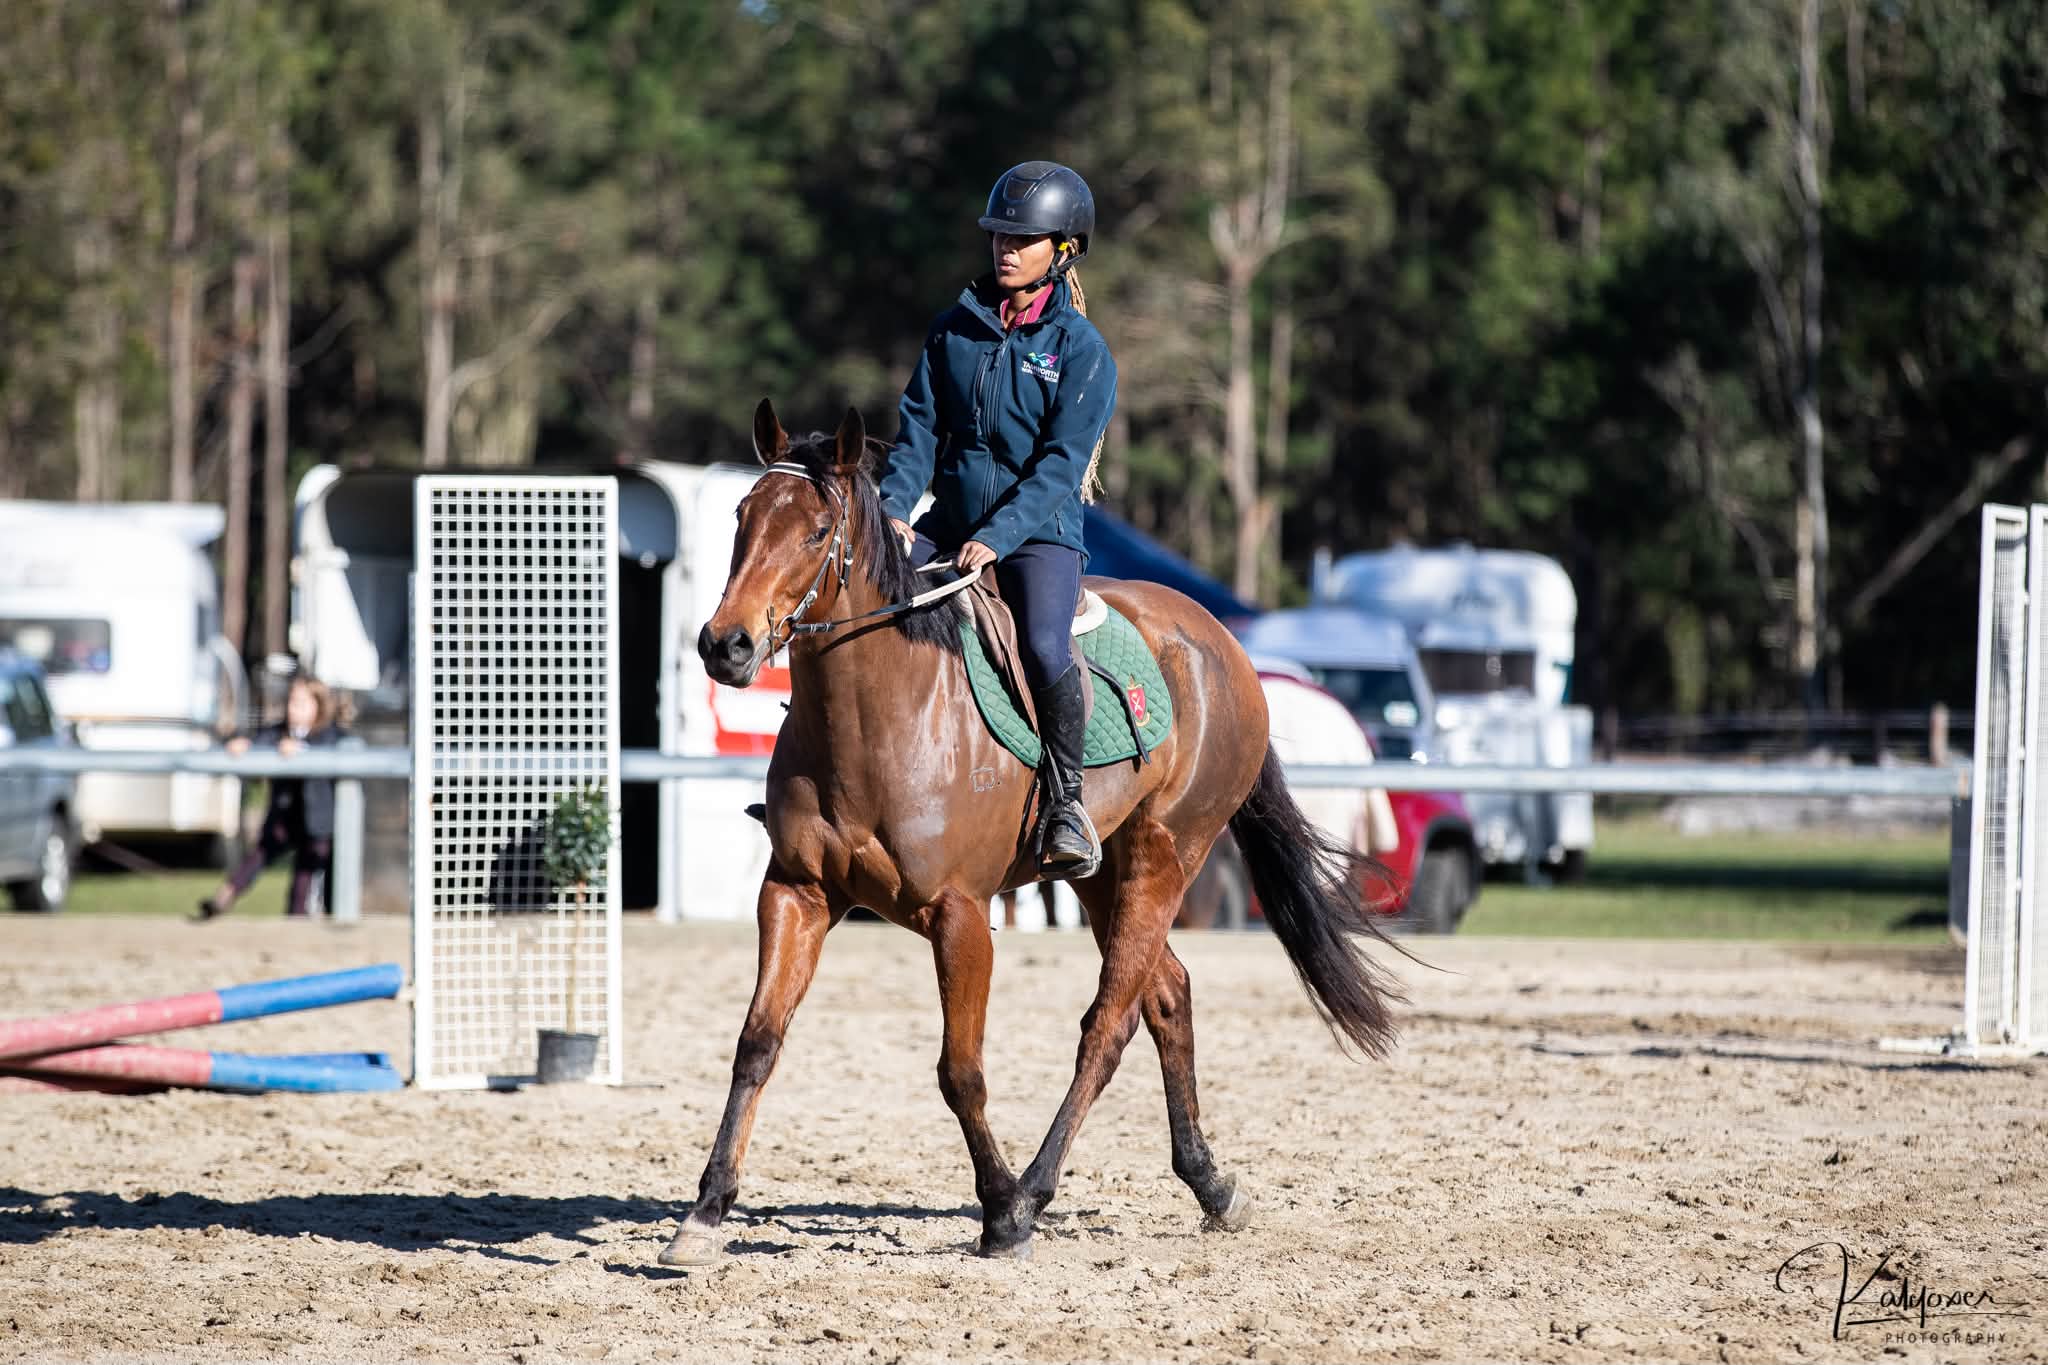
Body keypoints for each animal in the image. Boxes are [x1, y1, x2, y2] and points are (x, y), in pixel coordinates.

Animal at [661, 399, 1402, 1264]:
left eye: (816, 532)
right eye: (743, 518)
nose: (726, 644)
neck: (879, 715)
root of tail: (1223, 644)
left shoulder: (959, 916)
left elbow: (961, 1070)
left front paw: (1000, 1208)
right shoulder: (796, 893)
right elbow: (757, 1042)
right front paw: (707, 1209)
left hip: (1166, 854)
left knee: (1108, 1024)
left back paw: (1036, 1191)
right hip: (1102, 875)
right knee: (1167, 996)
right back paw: (1211, 1184)